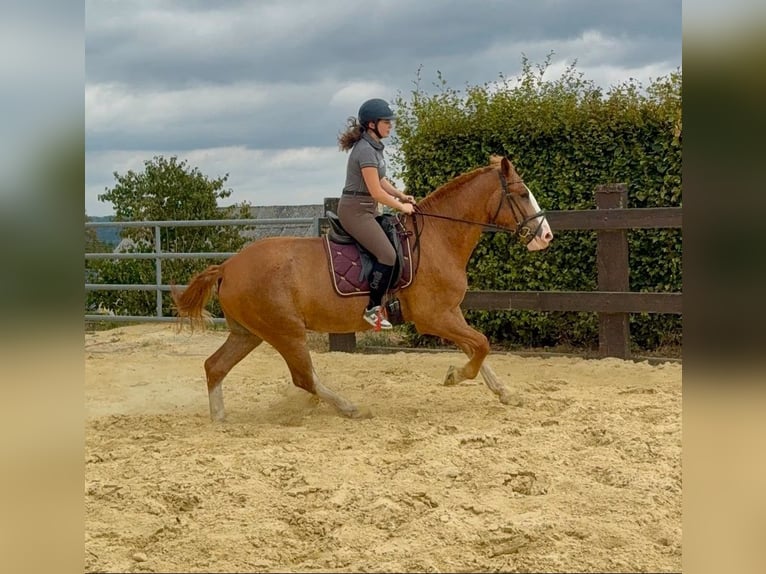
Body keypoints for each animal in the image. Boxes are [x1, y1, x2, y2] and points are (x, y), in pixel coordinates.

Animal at [172, 155, 553, 421]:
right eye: (522, 194)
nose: (546, 235)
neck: (438, 239)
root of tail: (228, 266)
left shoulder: (450, 313)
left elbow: (477, 347)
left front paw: (505, 392)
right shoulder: (433, 317)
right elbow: (481, 346)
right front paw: (454, 376)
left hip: (249, 332)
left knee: (215, 366)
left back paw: (220, 417)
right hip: (285, 332)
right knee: (304, 378)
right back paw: (351, 408)